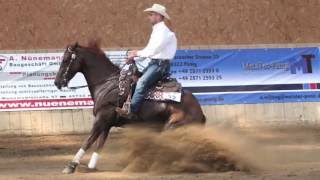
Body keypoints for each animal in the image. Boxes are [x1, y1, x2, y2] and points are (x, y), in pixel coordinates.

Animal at [54, 41, 206, 174]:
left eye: (66, 60)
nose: (56, 82)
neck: (108, 84)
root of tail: (199, 110)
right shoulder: (107, 123)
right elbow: (100, 144)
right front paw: (91, 166)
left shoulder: (101, 119)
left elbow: (88, 141)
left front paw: (71, 166)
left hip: (173, 127)